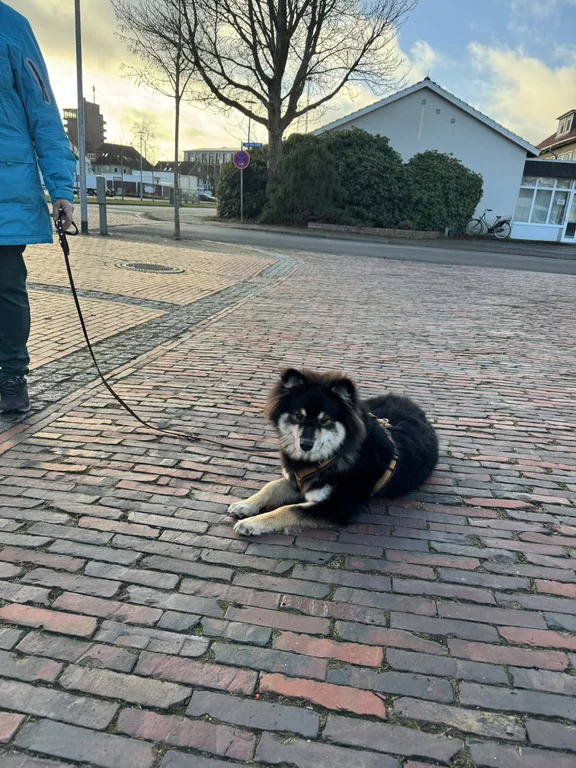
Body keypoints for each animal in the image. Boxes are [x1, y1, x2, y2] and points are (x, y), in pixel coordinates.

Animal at [230, 368, 439, 536]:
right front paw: (245, 505)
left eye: (325, 420)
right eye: (298, 415)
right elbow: (269, 487)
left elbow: (289, 509)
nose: (305, 445)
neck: (332, 455)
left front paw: (251, 523)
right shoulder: (297, 479)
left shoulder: (337, 506)